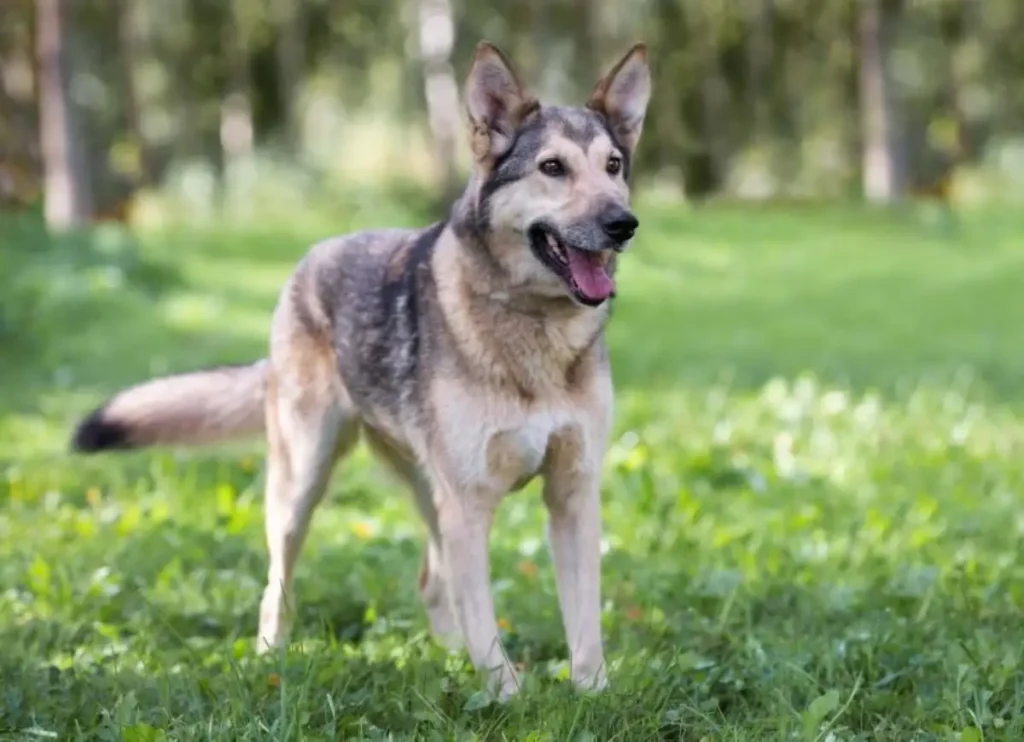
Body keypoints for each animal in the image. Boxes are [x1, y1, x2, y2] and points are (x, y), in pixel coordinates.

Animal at [72, 40, 651, 700]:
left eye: (613, 165)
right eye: (553, 168)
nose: (623, 224)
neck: (533, 323)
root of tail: (310, 259)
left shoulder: (572, 494)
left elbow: (583, 625)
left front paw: (593, 696)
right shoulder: (470, 502)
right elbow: (487, 625)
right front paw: (508, 700)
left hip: (426, 493)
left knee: (433, 581)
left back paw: (447, 657)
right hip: (304, 485)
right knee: (278, 585)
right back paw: (271, 658)